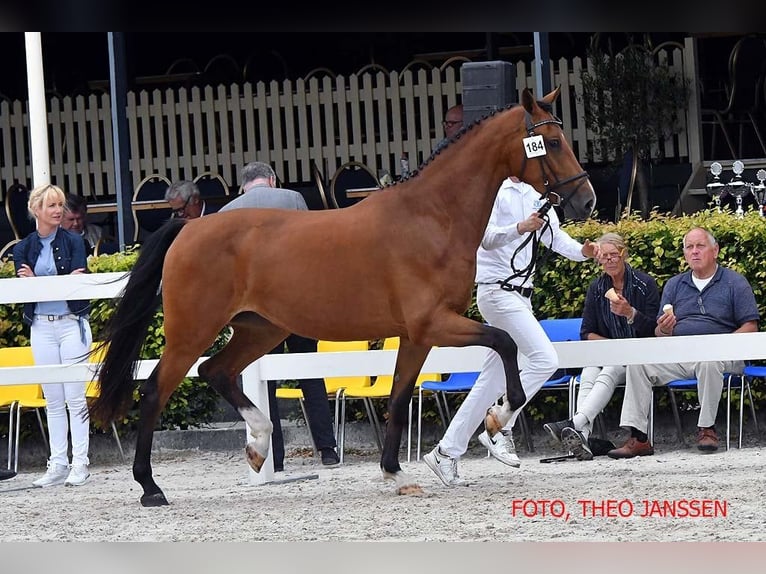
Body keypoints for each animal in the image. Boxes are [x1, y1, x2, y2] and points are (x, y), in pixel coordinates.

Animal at [91, 87, 596, 506]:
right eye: (551, 142)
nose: (586, 201)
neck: (432, 216)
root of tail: (187, 227)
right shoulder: (435, 323)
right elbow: (505, 342)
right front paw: (498, 415)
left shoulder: (417, 336)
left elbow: (399, 396)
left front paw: (394, 473)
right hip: (191, 331)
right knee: (155, 390)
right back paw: (150, 487)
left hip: (259, 329)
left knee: (216, 371)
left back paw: (257, 445)